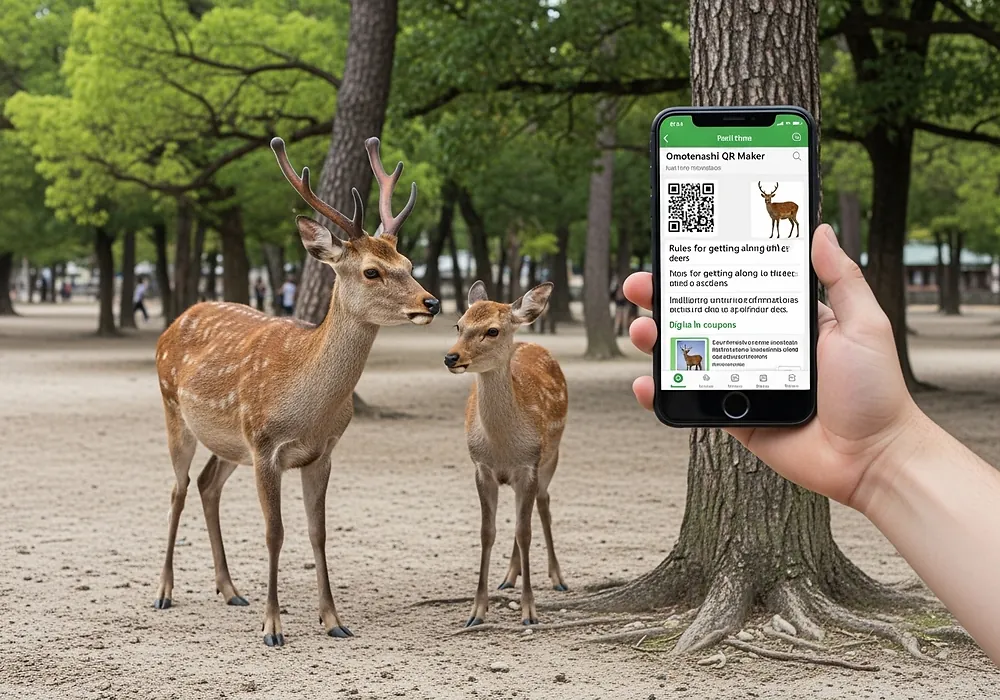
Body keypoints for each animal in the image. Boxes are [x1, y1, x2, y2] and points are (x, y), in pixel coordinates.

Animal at [151, 135, 439, 647]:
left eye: (407, 263)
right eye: (372, 271)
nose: (432, 302)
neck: (307, 407)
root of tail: (175, 321)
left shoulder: (321, 452)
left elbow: (317, 532)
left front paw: (334, 620)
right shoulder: (265, 447)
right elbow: (275, 532)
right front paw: (273, 628)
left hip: (230, 442)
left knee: (207, 485)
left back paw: (231, 591)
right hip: (174, 409)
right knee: (178, 488)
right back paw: (164, 592)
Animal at [444, 280, 569, 627]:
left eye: (492, 331)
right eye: (458, 324)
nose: (451, 357)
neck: (502, 447)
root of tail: (531, 341)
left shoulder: (529, 464)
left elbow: (525, 533)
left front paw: (529, 612)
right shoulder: (481, 467)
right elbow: (487, 532)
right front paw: (476, 611)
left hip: (553, 454)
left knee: (544, 503)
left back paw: (558, 578)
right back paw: (509, 576)